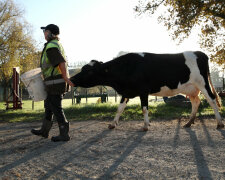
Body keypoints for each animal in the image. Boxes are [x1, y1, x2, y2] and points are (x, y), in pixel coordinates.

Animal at [70, 51, 223, 130]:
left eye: (89, 71)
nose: (71, 79)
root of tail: (200, 53)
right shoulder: (126, 92)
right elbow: (119, 108)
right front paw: (113, 124)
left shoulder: (143, 91)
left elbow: (144, 108)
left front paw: (145, 125)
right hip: (191, 89)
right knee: (196, 102)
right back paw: (189, 122)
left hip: (203, 84)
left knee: (212, 100)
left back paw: (220, 123)